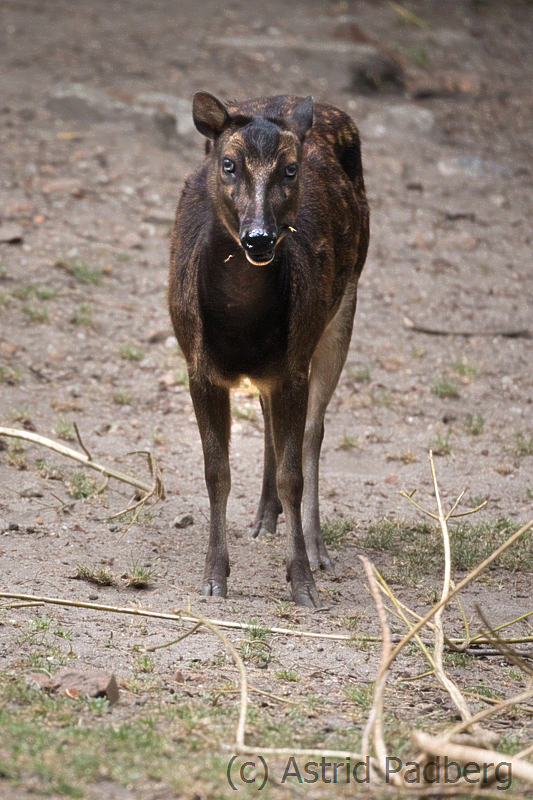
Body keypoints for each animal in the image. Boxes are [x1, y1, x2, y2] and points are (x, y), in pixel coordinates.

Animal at [168, 92, 369, 607]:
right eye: (228, 164)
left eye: (291, 169)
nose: (259, 237)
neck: (242, 325)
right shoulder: (197, 365)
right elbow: (216, 472)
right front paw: (214, 578)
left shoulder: (294, 363)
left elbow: (292, 473)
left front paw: (303, 582)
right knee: (266, 417)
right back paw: (263, 517)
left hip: (343, 304)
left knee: (314, 431)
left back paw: (317, 547)